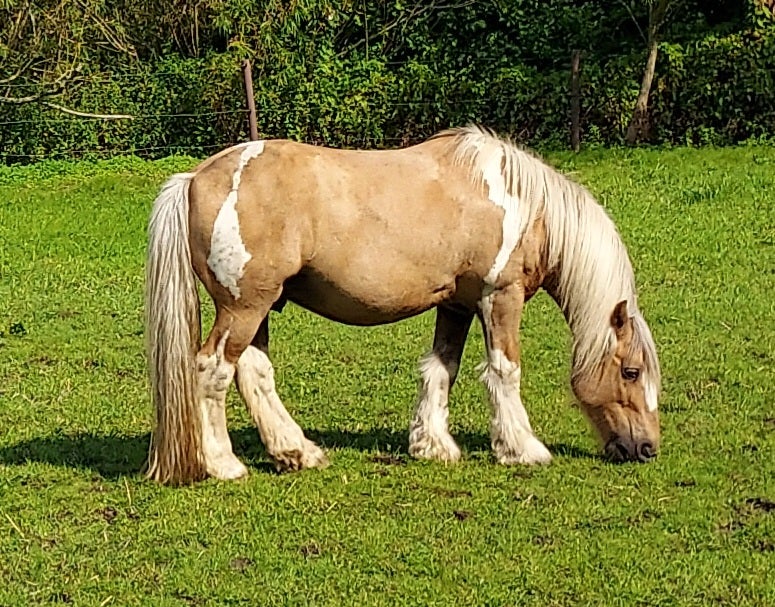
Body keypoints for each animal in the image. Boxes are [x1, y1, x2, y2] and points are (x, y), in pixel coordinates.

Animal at [144, 127, 660, 484]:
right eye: (630, 371)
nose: (647, 448)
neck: (521, 204)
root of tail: (196, 178)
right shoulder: (500, 297)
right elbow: (504, 370)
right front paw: (522, 449)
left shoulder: (456, 305)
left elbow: (442, 367)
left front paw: (432, 445)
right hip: (244, 308)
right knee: (212, 371)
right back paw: (223, 464)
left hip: (260, 308)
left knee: (254, 374)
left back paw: (298, 453)